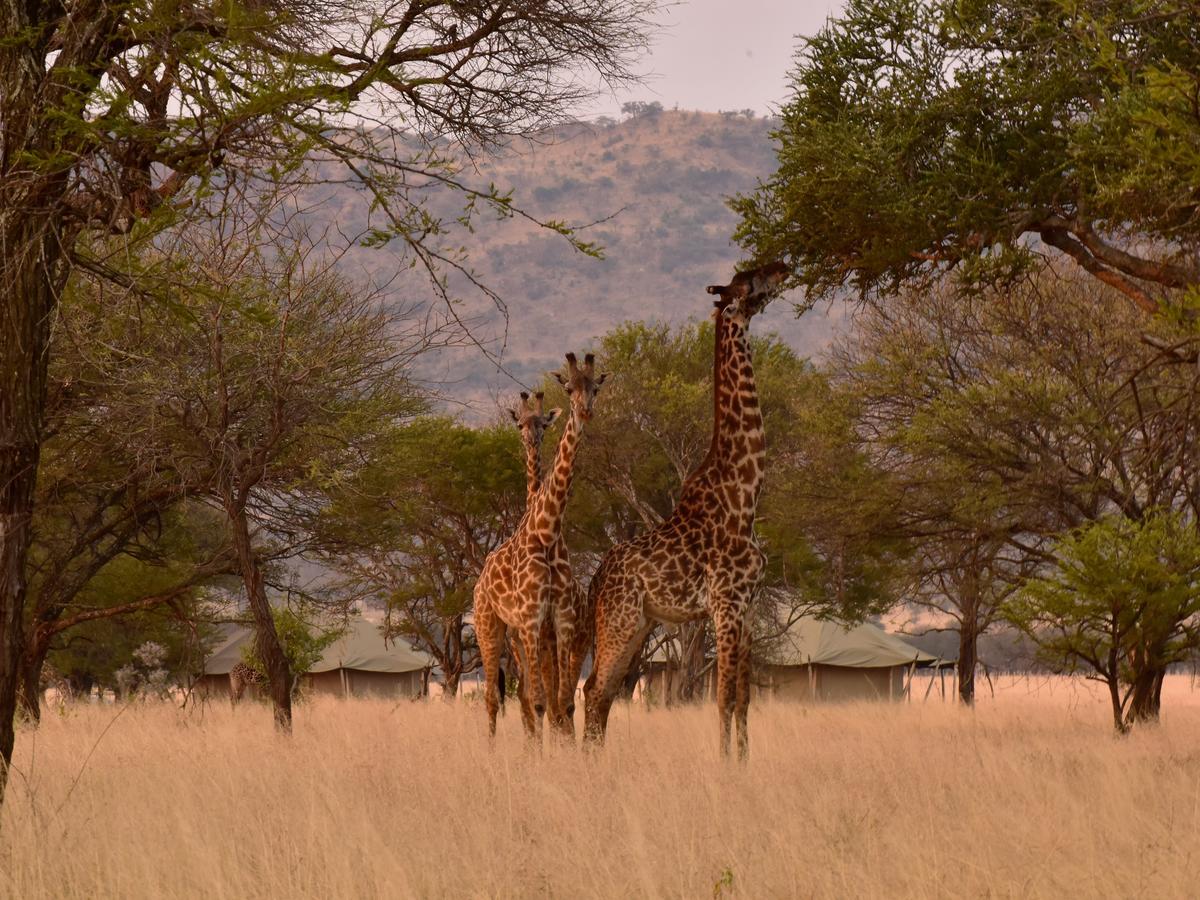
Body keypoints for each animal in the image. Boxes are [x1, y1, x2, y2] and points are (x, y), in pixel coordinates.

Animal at [475, 355, 609, 744]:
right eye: (569, 387)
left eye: (595, 388)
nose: (585, 411)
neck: (546, 533)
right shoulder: (531, 619)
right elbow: (537, 701)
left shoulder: (560, 621)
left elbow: (560, 703)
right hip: (488, 625)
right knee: (495, 697)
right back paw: (491, 751)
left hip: (566, 640)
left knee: (551, 700)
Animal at [580, 260, 787, 763]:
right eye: (751, 280)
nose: (784, 265)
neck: (745, 493)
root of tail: (595, 582)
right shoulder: (726, 604)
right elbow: (724, 695)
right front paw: (725, 763)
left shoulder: (748, 607)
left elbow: (744, 698)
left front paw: (744, 762)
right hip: (620, 621)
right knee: (594, 691)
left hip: (637, 625)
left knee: (602, 692)